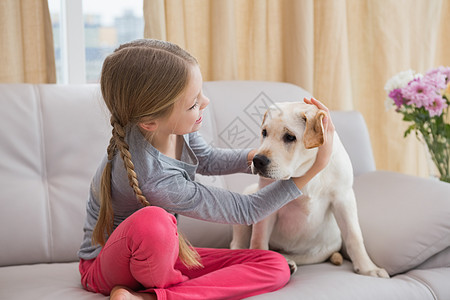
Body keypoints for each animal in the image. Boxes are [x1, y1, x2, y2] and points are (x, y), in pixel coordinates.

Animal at [230, 101, 388, 278]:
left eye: (290, 137)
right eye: (264, 133)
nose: (257, 160)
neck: (304, 171)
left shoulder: (344, 197)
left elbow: (354, 236)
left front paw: (368, 268)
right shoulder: (264, 204)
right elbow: (258, 239)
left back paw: (288, 262)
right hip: (248, 194)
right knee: (237, 243)